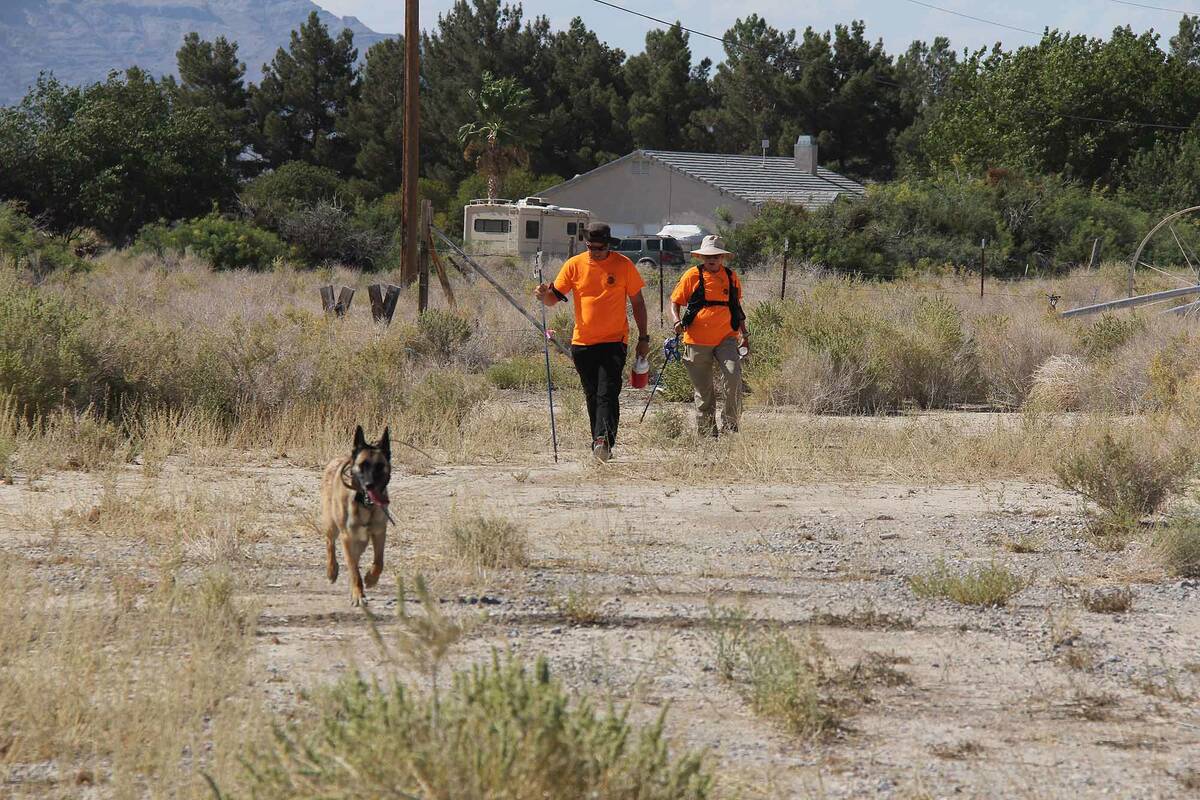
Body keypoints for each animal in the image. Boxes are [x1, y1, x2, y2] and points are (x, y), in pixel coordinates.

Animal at [321, 424, 391, 606]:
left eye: (379, 466)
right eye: (362, 465)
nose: (369, 484)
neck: (364, 504)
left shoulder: (379, 533)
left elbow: (379, 561)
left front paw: (371, 578)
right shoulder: (347, 537)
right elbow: (353, 570)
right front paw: (358, 594)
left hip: (362, 540)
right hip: (332, 526)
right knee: (330, 543)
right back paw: (332, 571)